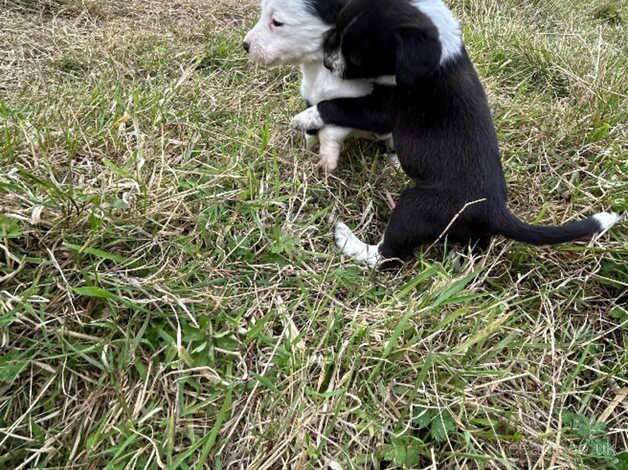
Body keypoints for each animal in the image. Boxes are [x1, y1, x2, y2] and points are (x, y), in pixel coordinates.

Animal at [242, 0, 392, 171]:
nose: (245, 45)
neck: (319, 67)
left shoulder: (367, 107)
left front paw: (327, 159)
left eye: (277, 22)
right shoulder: (308, 94)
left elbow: (331, 122)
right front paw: (306, 150)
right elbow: (311, 127)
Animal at [292, 0, 620, 266]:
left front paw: (305, 117)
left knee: (388, 256)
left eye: (358, 58)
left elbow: (338, 105)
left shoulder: (385, 108)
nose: (326, 62)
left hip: (416, 206)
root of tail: (494, 210)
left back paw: (348, 240)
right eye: (335, 29)